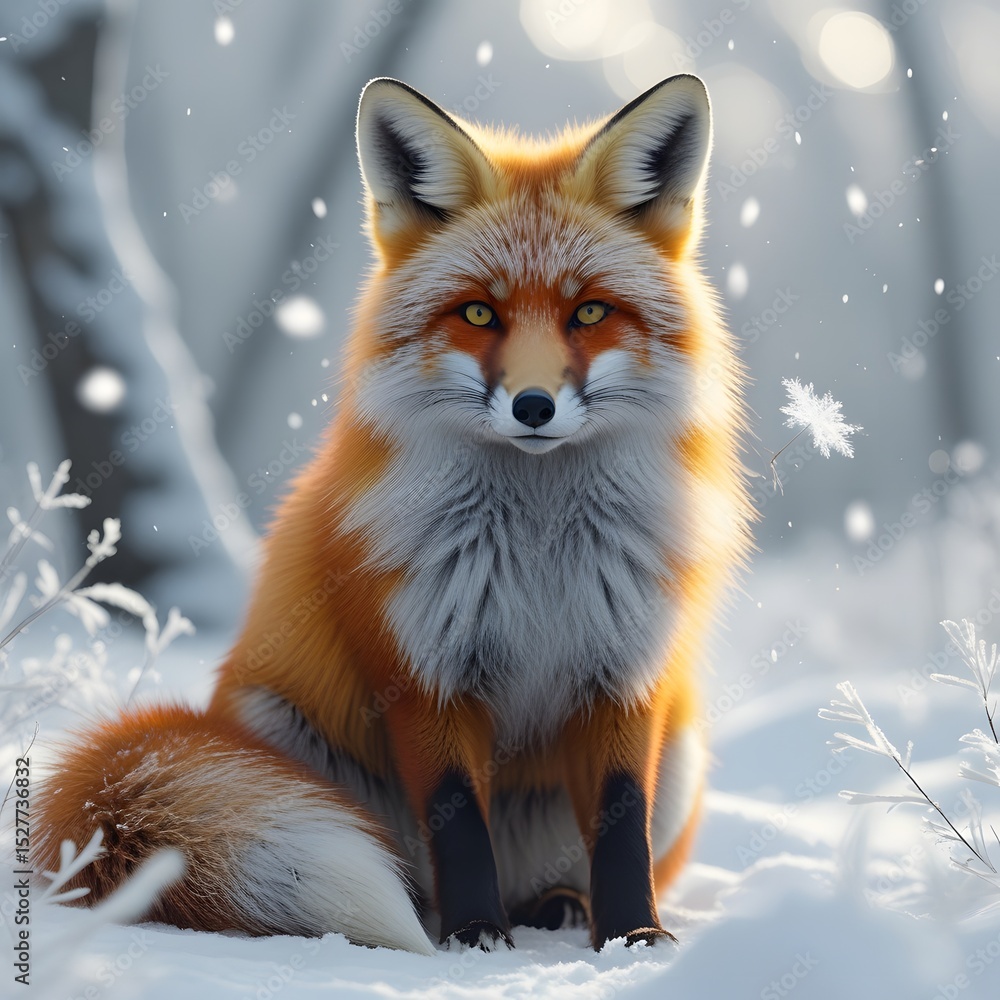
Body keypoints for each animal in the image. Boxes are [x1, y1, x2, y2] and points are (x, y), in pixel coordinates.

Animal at [37, 74, 751, 955]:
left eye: (589, 313)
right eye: (478, 314)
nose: (534, 406)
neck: (541, 555)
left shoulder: (623, 674)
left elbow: (622, 831)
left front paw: (633, 938)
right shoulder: (423, 673)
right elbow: (458, 821)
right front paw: (477, 936)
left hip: (681, 753)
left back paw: (553, 906)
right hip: (283, 730)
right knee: (415, 872)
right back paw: (452, 916)